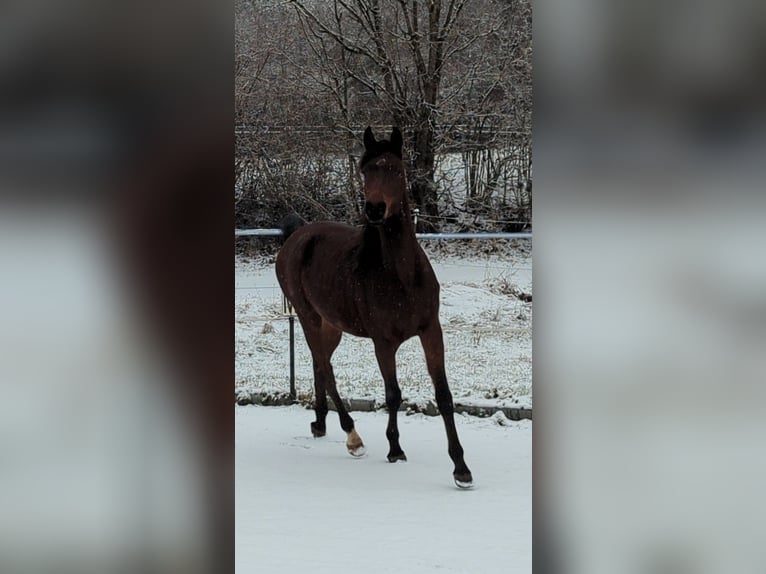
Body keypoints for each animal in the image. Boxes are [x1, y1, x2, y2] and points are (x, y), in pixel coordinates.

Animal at [272, 127, 472, 490]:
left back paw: (320, 423)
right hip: (308, 318)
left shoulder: (431, 332)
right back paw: (352, 437)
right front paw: (395, 449)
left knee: (319, 364)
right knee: (326, 368)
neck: (402, 275)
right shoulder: (384, 342)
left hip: (331, 325)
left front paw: (461, 468)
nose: (375, 209)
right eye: (366, 171)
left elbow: (444, 396)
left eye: (394, 168)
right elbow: (393, 394)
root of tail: (296, 236)